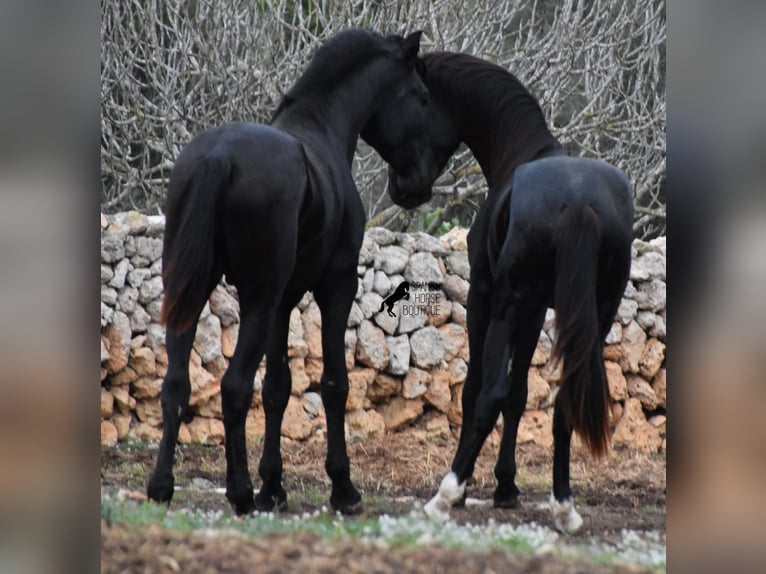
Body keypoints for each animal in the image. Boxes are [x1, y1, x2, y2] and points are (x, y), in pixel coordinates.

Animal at [148, 30, 444, 516]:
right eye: (420, 96)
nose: (416, 186)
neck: (321, 129)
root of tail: (218, 157)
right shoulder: (335, 287)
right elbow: (333, 384)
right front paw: (342, 488)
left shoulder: (284, 303)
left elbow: (278, 387)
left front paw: (273, 486)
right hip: (257, 298)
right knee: (234, 387)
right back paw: (239, 493)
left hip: (191, 292)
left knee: (176, 384)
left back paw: (161, 486)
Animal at [384, 54, 636, 536]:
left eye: (418, 107)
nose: (402, 190)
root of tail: (579, 202)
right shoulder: (536, 311)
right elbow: (520, 395)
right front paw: (507, 486)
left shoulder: (487, 300)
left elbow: (479, 391)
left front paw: (470, 488)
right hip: (598, 311)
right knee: (562, 402)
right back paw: (564, 506)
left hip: (506, 307)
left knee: (490, 395)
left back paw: (444, 497)